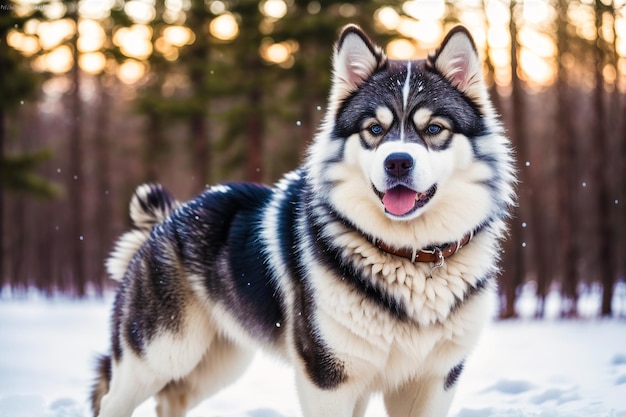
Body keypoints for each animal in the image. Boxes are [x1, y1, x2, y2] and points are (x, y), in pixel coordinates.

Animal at [91, 24, 512, 414]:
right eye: (374, 129)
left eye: (434, 129)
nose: (397, 162)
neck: (409, 256)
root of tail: (168, 218)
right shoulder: (327, 375)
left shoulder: (433, 379)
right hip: (162, 354)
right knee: (113, 399)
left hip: (219, 362)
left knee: (170, 400)